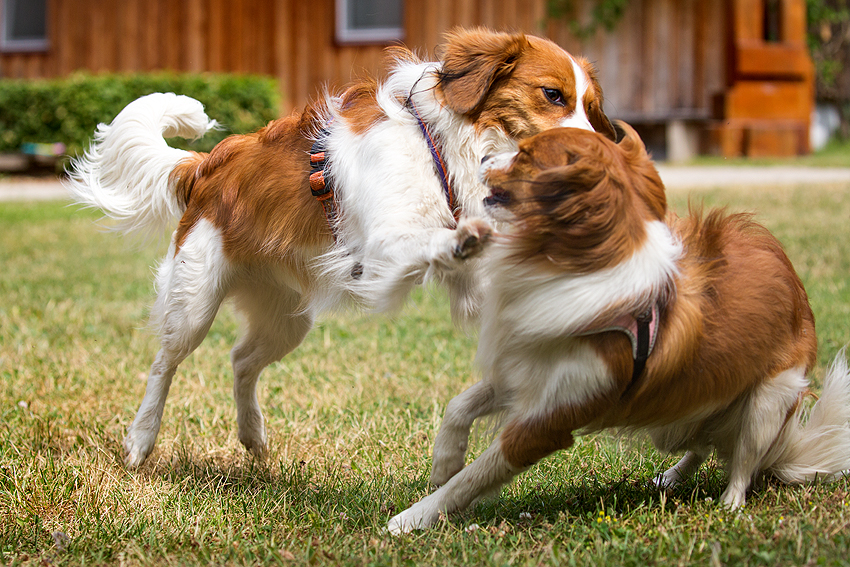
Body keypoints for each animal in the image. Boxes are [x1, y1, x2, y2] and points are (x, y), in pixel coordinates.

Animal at [66, 28, 608, 468]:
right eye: (553, 95)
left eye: (590, 107)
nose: (599, 156)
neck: (441, 147)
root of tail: (206, 165)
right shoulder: (382, 249)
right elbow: (432, 237)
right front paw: (464, 236)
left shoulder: (471, 284)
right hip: (194, 300)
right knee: (165, 362)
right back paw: (141, 440)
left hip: (288, 319)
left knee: (241, 360)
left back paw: (253, 435)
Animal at [388, 123, 848, 532]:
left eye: (527, 155)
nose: (482, 157)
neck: (570, 262)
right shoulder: (530, 370)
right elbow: (459, 406)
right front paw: (445, 461)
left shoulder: (546, 423)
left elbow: (474, 477)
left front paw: (414, 518)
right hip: (682, 412)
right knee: (702, 446)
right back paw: (671, 477)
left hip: (769, 400)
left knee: (744, 464)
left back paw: (729, 504)